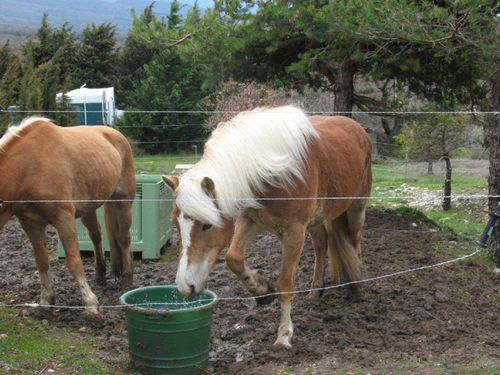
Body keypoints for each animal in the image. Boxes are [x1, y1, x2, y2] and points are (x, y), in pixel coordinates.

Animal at [0, 117, 137, 314]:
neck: (29, 165)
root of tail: (115, 134)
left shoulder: (63, 219)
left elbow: (74, 262)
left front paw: (90, 304)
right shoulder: (30, 224)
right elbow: (42, 262)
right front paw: (46, 301)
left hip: (123, 202)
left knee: (124, 238)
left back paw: (127, 279)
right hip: (89, 207)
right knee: (96, 235)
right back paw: (100, 274)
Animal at [163, 106, 372, 350]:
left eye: (207, 225)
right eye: (176, 224)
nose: (185, 286)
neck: (273, 172)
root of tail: (357, 128)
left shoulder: (294, 234)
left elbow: (286, 283)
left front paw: (284, 335)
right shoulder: (249, 219)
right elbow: (233, 258)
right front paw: (262, 291)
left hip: (356, 208)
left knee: (355, 239)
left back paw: (357, 285)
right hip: (317, 220)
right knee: (322, 245)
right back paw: (316, 290)